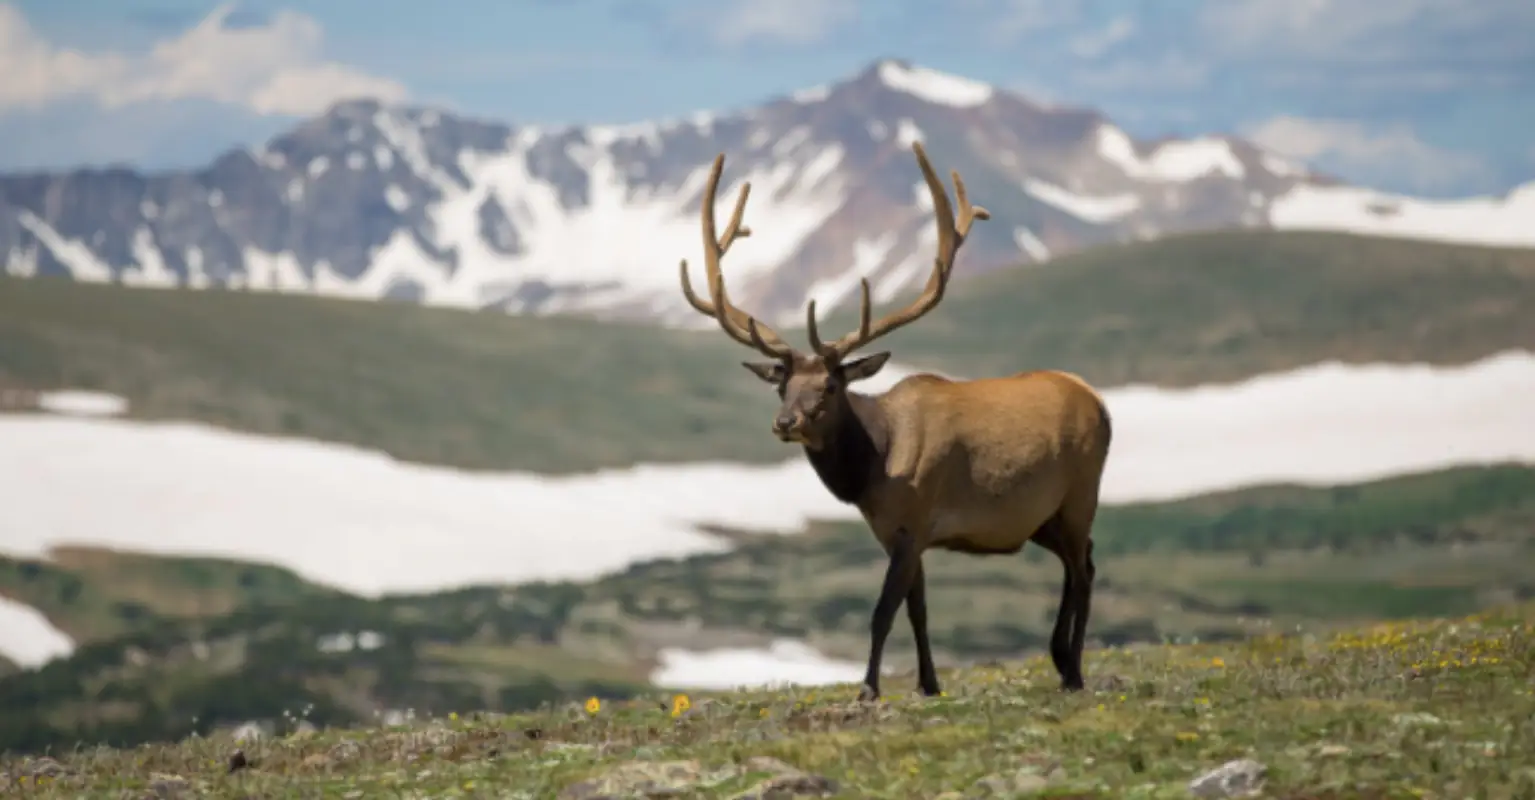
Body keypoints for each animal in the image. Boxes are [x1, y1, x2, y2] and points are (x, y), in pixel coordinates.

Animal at [674, 141, 1114, 702]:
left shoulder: (916, 518)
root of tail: (1098, 400)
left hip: (1081, 493)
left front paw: (868, 689)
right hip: (1041, 517)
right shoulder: (894, 531)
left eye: (831, 386)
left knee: (1084, 568)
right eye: (781, 384)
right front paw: (928, 684)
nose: (785, 421)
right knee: (1083, 561)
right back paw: (1059, 658)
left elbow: (882, 611)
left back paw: (1074, 670)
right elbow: (917, 610)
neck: (873, 470)